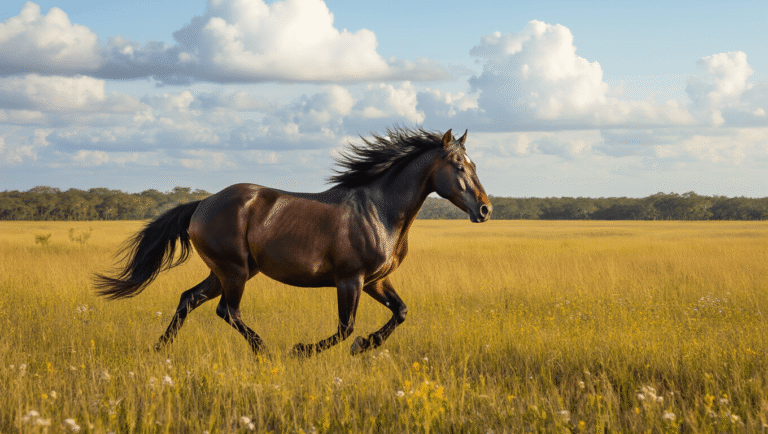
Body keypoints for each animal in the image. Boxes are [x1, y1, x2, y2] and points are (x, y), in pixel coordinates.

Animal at [94, 127, 492, 356]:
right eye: (459, 166)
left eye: (474, 166)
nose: (485, 209)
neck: (379, 210)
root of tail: (201, 205)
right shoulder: (351, 280)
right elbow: (345, 328)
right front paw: (304, 350)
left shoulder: (377, 280)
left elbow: (401, 312)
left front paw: (366, 346)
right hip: (235, 271)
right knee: (227, 311)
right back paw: (266, 352)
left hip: (226, 272)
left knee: (189, 299)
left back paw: (158, 350)